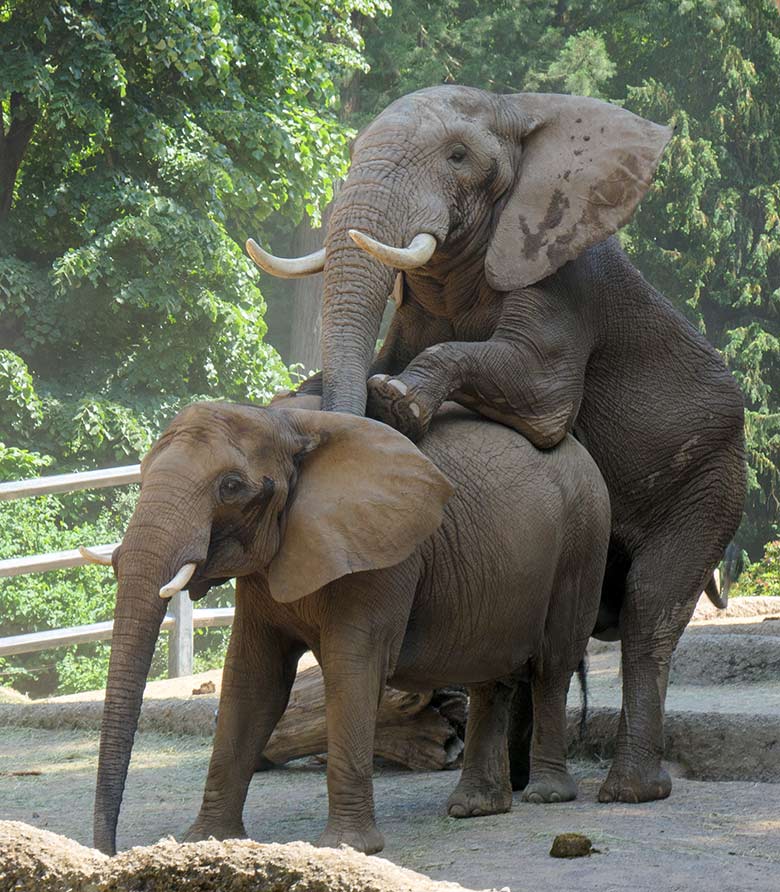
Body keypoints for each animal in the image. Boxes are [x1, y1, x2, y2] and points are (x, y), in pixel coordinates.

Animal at [91, 398, 612, 856]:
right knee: (488, 675)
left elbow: (352, 672)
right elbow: (253, 681)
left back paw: (546, 794)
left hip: (584, 539)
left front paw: (346, 847)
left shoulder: (382, 554)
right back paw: (475, 807)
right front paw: (203, 842)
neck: (286, 423)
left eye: (232, 486)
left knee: (552, 666)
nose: (107, 853)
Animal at [247, 87, 748, 804]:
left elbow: (542, 399)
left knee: (649, 607)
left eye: (459, 157)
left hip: (711, 477)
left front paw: (397, 401)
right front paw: (316, 396)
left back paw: (628, 791)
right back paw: (514, 782)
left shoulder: (563, 279)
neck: (519, 108)